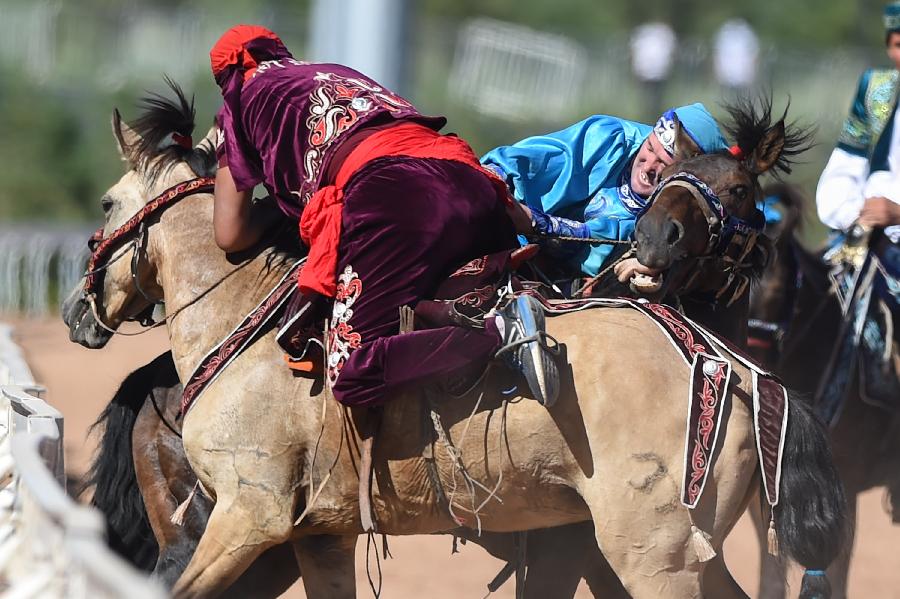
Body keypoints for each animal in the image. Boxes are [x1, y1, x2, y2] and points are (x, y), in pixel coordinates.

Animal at [67, 84, 848, 599]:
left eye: (742, 188)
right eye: (667, 179)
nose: (78, 309)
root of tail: (733, 373)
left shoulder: (251, 519)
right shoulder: (315, 535)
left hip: (660, 556)